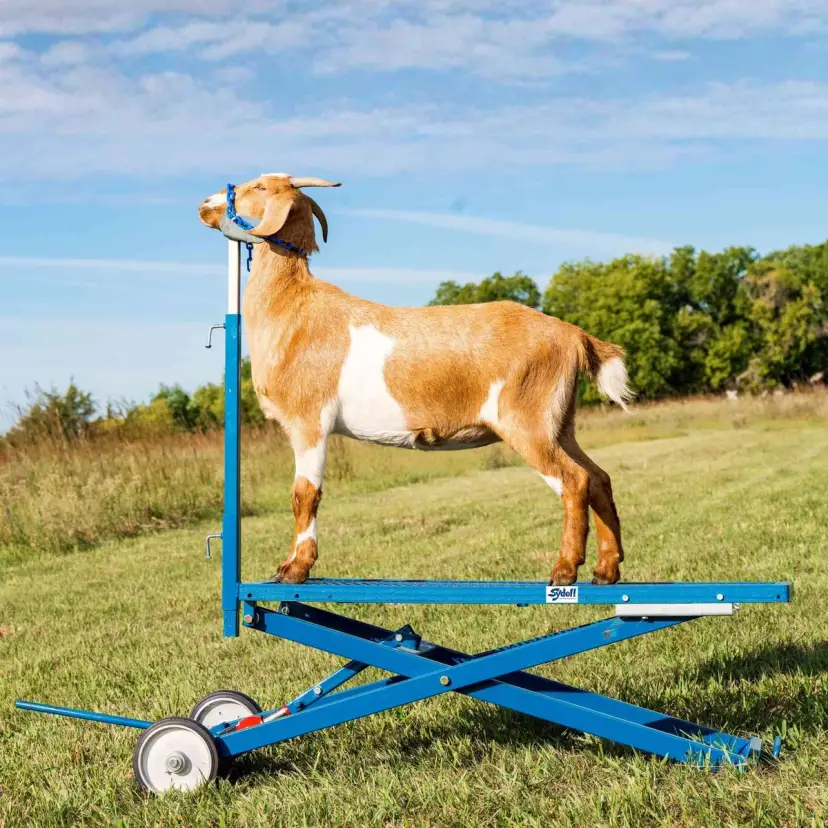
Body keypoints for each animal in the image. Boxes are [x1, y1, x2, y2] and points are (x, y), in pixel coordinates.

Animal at [199, 173, 633, 587]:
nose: (205, 204)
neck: (294, 309)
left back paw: (565, 569)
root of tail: (572, 335)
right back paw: (606, 569)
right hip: (559, 423)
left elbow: (305, 494)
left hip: (527, 420)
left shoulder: (310, 421)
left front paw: (294, 568)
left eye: (259, 186)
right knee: (599, 477)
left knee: (574, 481)